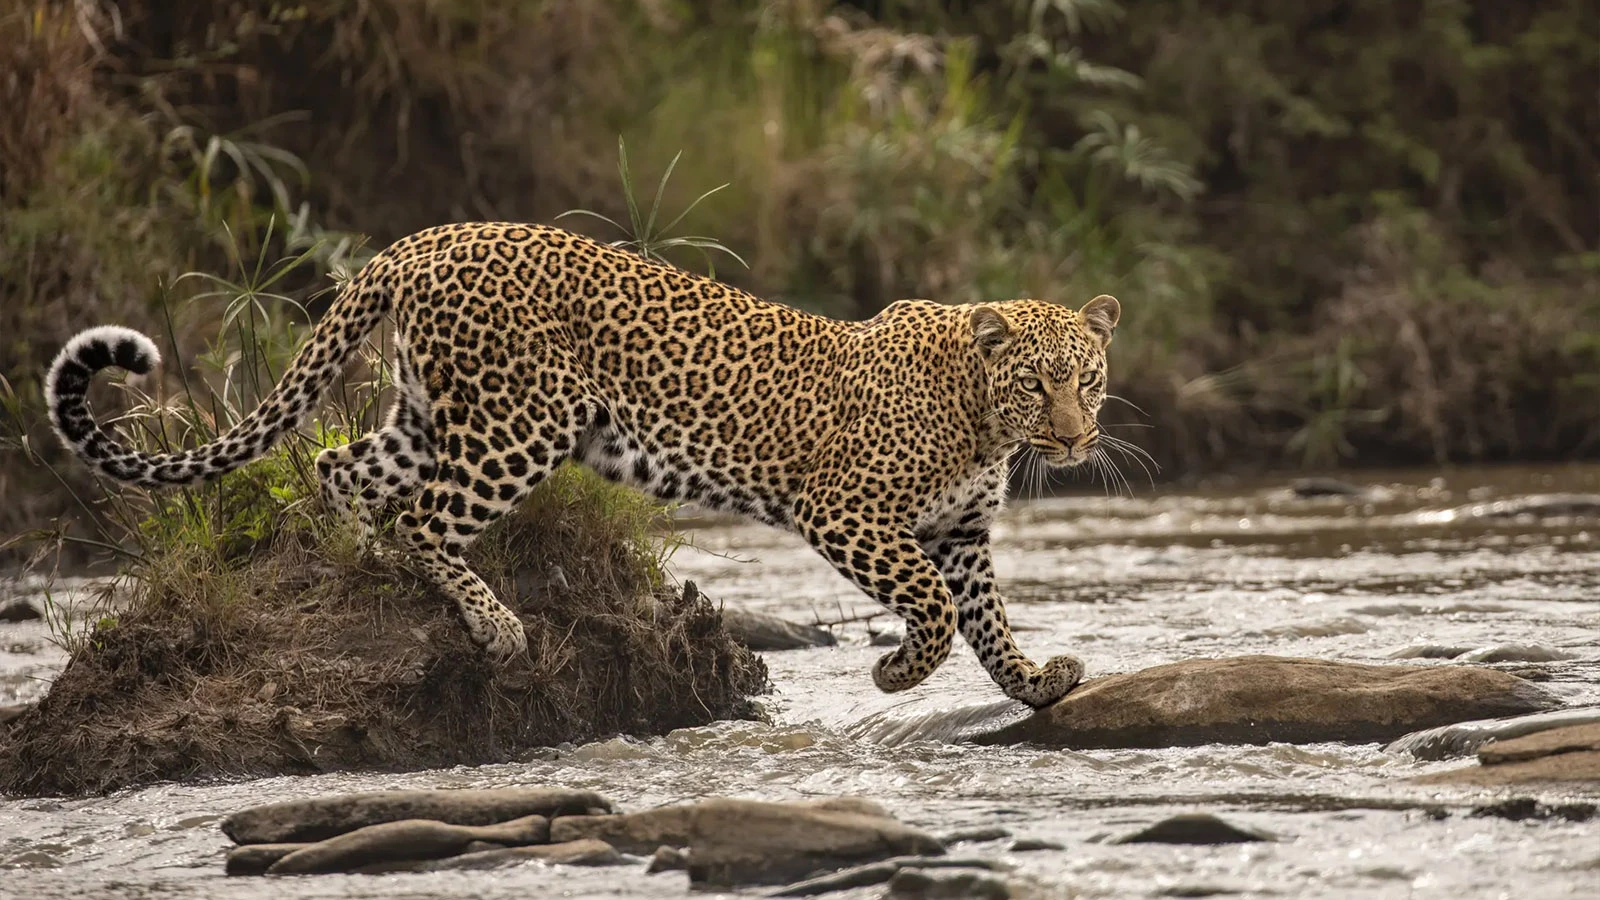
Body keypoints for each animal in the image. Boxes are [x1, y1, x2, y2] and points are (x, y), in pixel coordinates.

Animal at [43, 220, 1120, 704]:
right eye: (1037, 385)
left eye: (1089, 379)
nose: (1075, 439)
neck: (982, 420)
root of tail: (420, 240)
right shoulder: (846, 511)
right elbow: (935, 608)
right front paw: (897, 672)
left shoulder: (961, 530)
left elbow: (985, 616)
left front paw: (1036, 681)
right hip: (521, 423)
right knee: (423, 517)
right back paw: (493, 627)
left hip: (430, 416)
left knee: (342, 469)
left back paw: (352, 568)